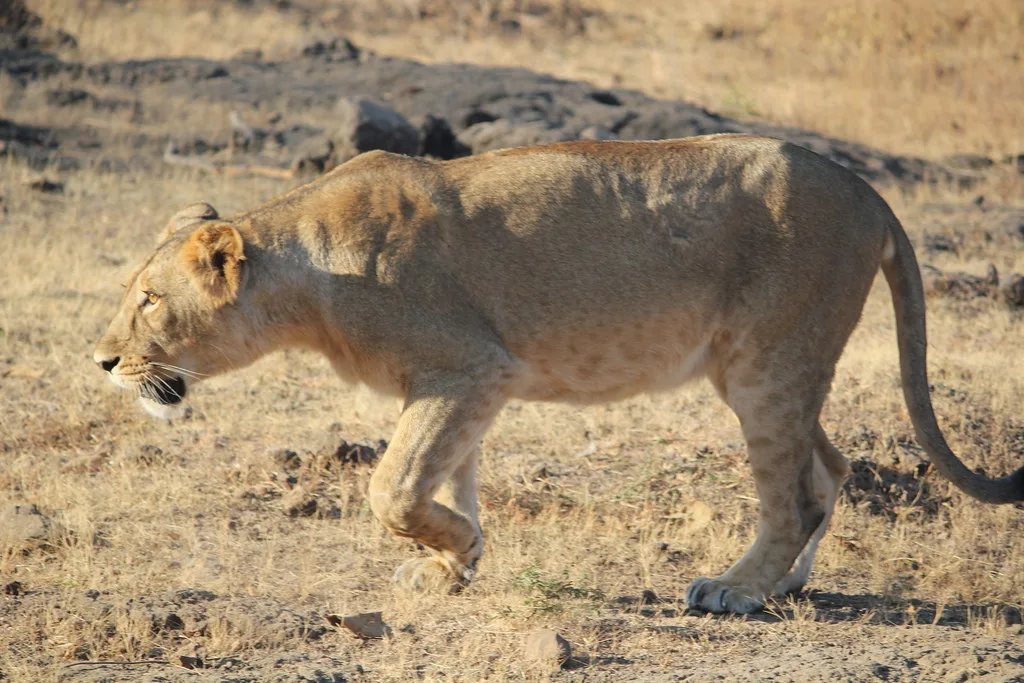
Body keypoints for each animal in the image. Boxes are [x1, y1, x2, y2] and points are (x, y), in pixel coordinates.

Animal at [93, 134, 1024, 613]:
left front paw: (459, 551)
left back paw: (734, 589)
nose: (102, 360)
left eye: (148, 300)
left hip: (767, 362)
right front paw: (452, 566)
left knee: (792, 491)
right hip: (766, 366)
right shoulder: (462, 384)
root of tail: (869, 190)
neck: (305, 274)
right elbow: (447, 480)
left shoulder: (469, 366)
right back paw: (787, 582)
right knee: (827, 466)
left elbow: (393, 486)